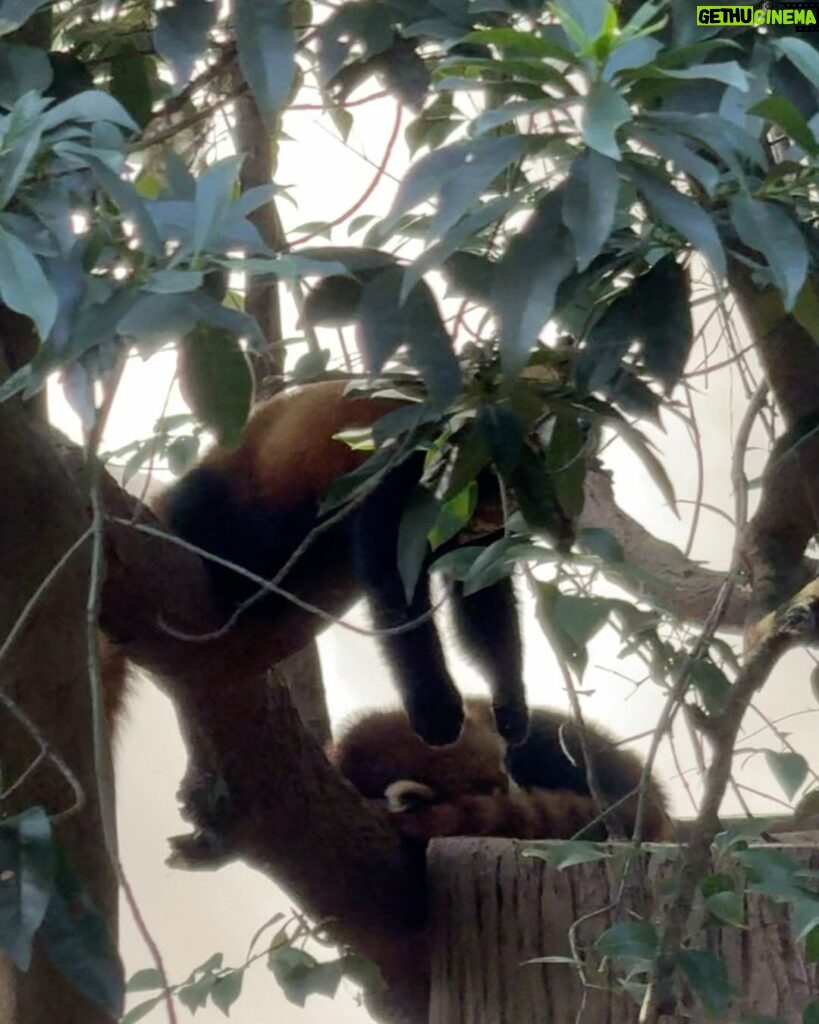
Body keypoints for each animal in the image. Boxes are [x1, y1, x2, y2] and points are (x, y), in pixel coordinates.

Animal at [155, 380, 532, 749]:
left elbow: (484, 604)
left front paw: (511, 700)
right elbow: (397, 600)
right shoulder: (393, 480)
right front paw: (435, 707)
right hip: (228, 501)